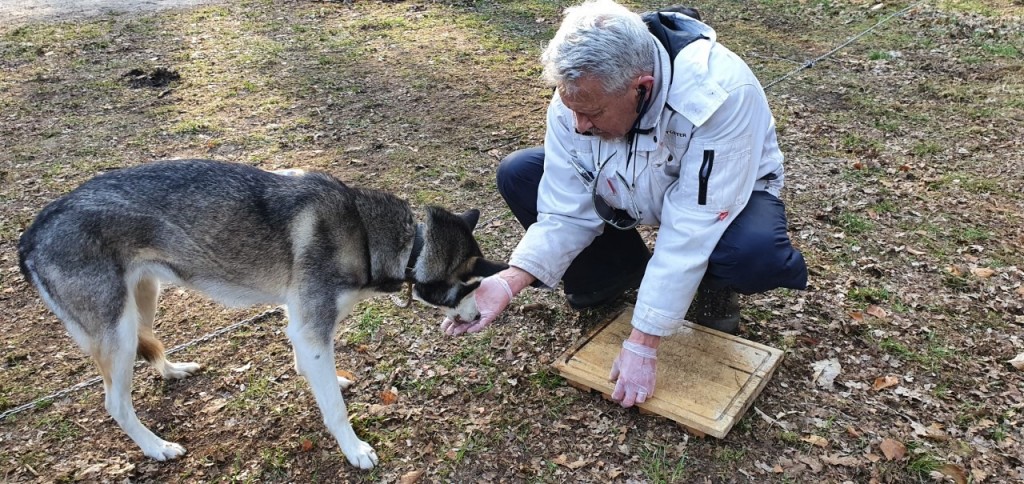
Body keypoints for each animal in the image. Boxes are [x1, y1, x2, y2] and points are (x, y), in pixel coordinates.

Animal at [18, 159, 505, 468]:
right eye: (472, 287)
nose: (478, 314)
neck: (377, 237)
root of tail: (31, 234)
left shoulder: (301, 324)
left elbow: (311, 370)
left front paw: (332, 380)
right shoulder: (312, 329)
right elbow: (335, 410)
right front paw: (354, 450)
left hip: (144, 299)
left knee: (148, 349)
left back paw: (173, 369)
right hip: (116, 331)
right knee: (116, 403)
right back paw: (157, 447)